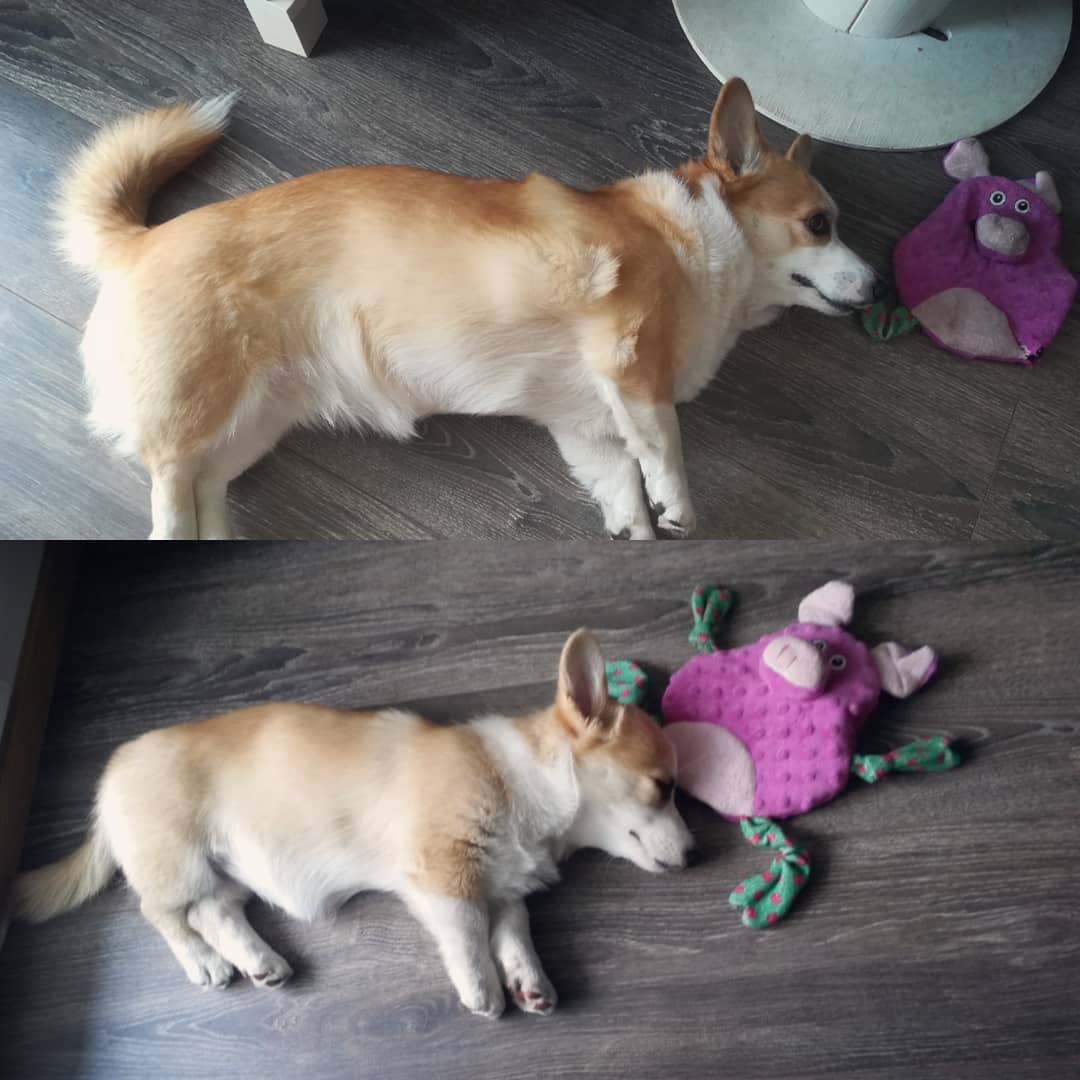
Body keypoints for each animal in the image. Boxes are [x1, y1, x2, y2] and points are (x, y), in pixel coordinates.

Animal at [14, 630, 696, 1018]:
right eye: (662, 787)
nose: (695, 855)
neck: (525, 778)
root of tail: (109, 778)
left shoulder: (501, 886)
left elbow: (515, 932)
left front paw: (531, 983)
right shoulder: (444, 876)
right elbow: (470, 935)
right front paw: (483, 993)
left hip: (222, 872)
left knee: (215, 910)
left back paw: (259, 960)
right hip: (175, 861)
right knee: (162, 914)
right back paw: (203, 964)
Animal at [60, 77, 883, 539]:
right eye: (820, 223)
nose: (879, 287)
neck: (696, 238)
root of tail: (138, 240)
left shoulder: (589, 424)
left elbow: (621, 481)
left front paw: (636, 533)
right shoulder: (631, 364)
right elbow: (666, 447)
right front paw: (678, 507)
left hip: (254, 423)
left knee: (206, 484)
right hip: (199, 399)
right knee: (171, 481)